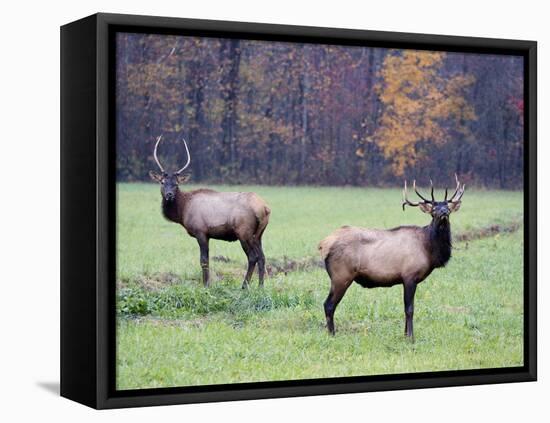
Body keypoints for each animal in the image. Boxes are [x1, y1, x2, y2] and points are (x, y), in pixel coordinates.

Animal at [150, 136, 272, 288]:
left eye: (176, 184)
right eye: (162, 182)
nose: (169, 195)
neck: (183, 211)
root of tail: (264, 208)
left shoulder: (201, 232)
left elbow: (204, 261)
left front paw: (206, 285)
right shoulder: (207, 235)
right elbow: (206, 260)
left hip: (244, 232)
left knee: (253, 257)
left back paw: (244, 286)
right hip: (259, 234)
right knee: (262, 257)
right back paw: (261, 286)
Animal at [320, 177, 466, 340]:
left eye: (447, 206)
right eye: (434, 210)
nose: (444, 212)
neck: (429, 249)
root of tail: (323, 244)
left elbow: (406, 309)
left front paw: (405, 335)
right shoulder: (409, 276)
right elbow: (410, 309)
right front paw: (411, 338)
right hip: (341, 276)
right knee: (328, 304)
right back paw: (332, 334)